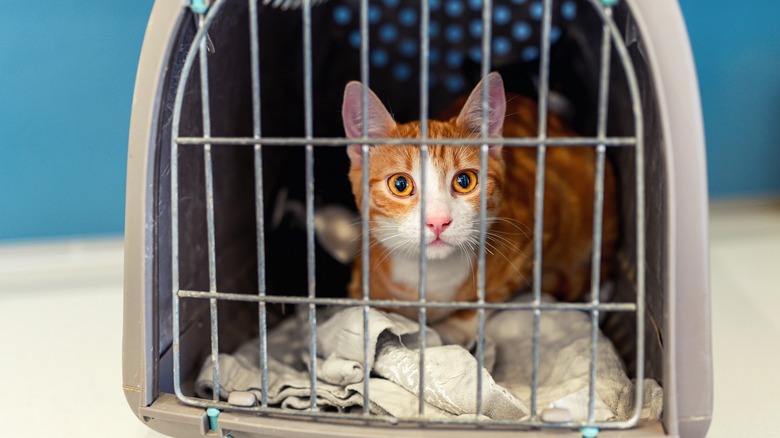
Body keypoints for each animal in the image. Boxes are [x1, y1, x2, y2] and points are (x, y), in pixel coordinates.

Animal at [342, 72, 616, 346]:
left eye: (464, 181)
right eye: (400, 184)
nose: (438, 221)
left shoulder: (536, 231)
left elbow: (487, 300)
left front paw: (453, 330)